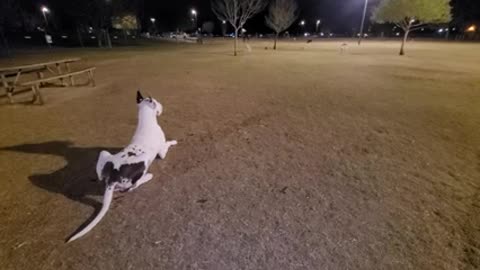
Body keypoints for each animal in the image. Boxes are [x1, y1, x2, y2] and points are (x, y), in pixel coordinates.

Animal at [68, 90, 178, 243]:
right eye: (157, 102)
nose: (162, 106)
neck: (146, 122)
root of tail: (112, 178)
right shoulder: (162, 152)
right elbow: (167, 144)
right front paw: (173, 141)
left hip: (103, 154)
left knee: (103, 178)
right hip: (143, 162)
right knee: (132, 186)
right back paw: (147, 177)